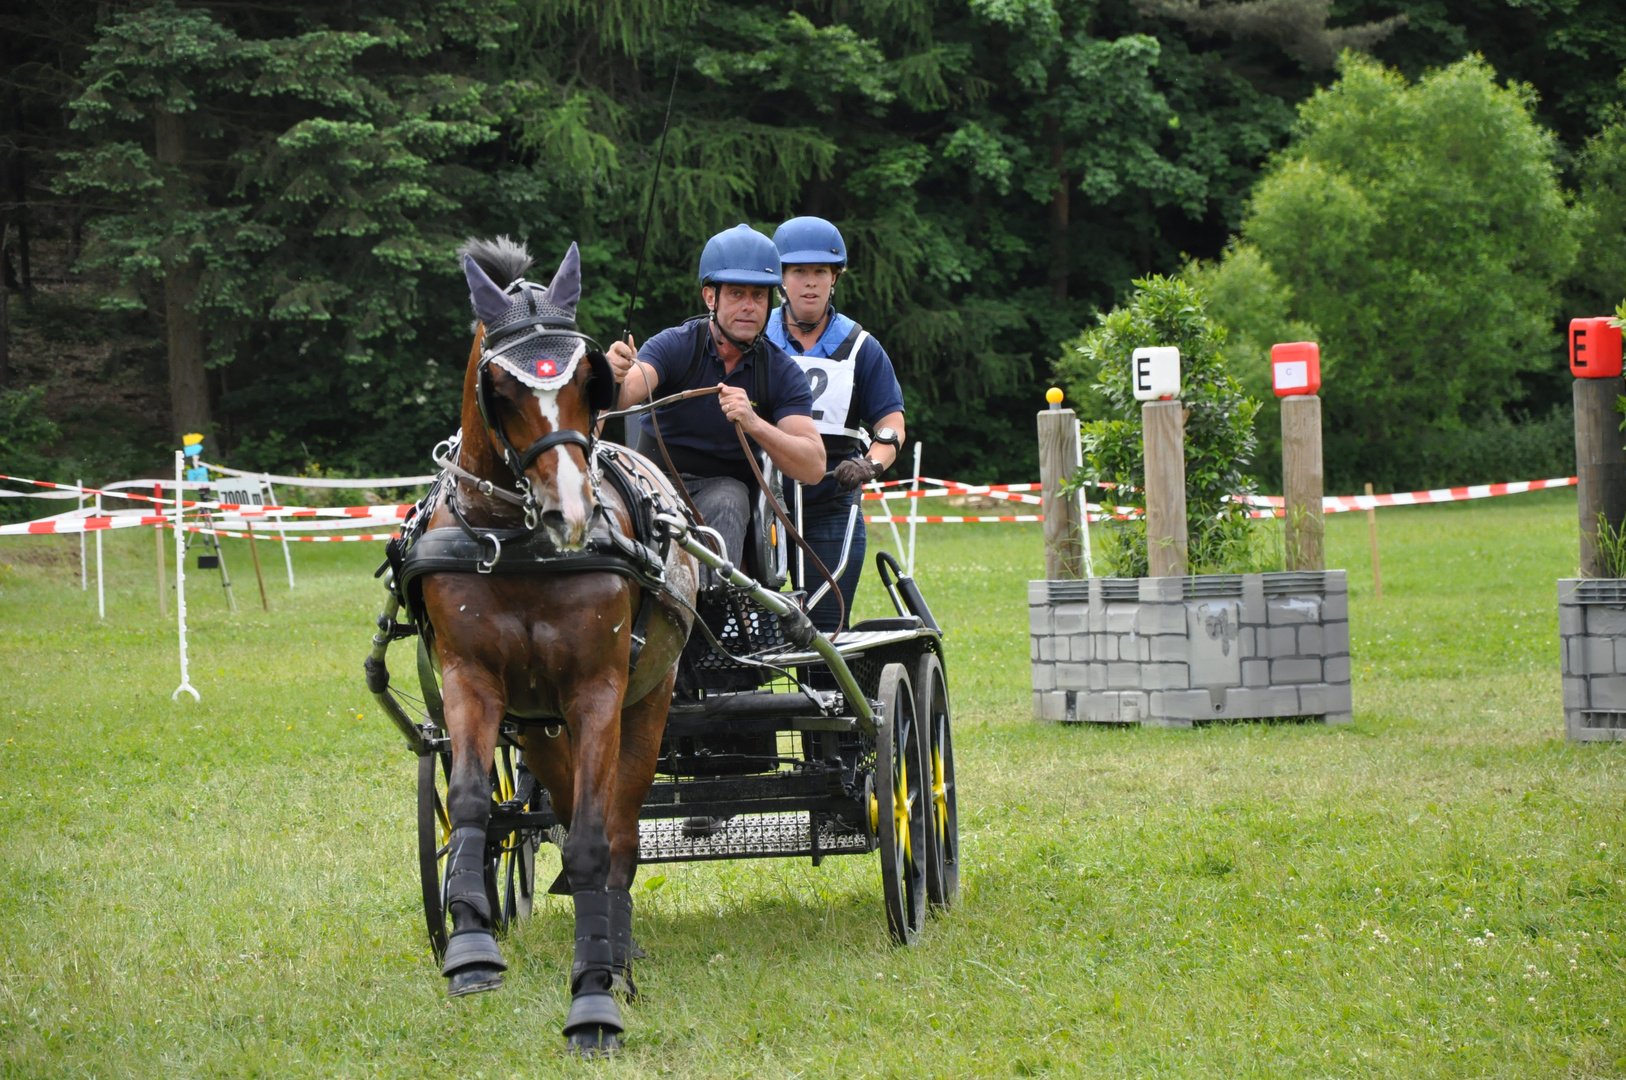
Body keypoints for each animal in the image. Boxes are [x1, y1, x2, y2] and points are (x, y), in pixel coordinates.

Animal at [419, 239, 699, 1053]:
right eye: (504, 391)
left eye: (585, 381)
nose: (571, 512)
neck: (518, 550)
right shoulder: (471, 677)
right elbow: (471, 800)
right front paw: (470, 945)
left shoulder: (597, 690)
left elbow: (595, 841)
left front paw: (595, 998)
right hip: (541, 729)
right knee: (569, 808)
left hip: (647, 703)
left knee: (619, 830)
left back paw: (617, 955)